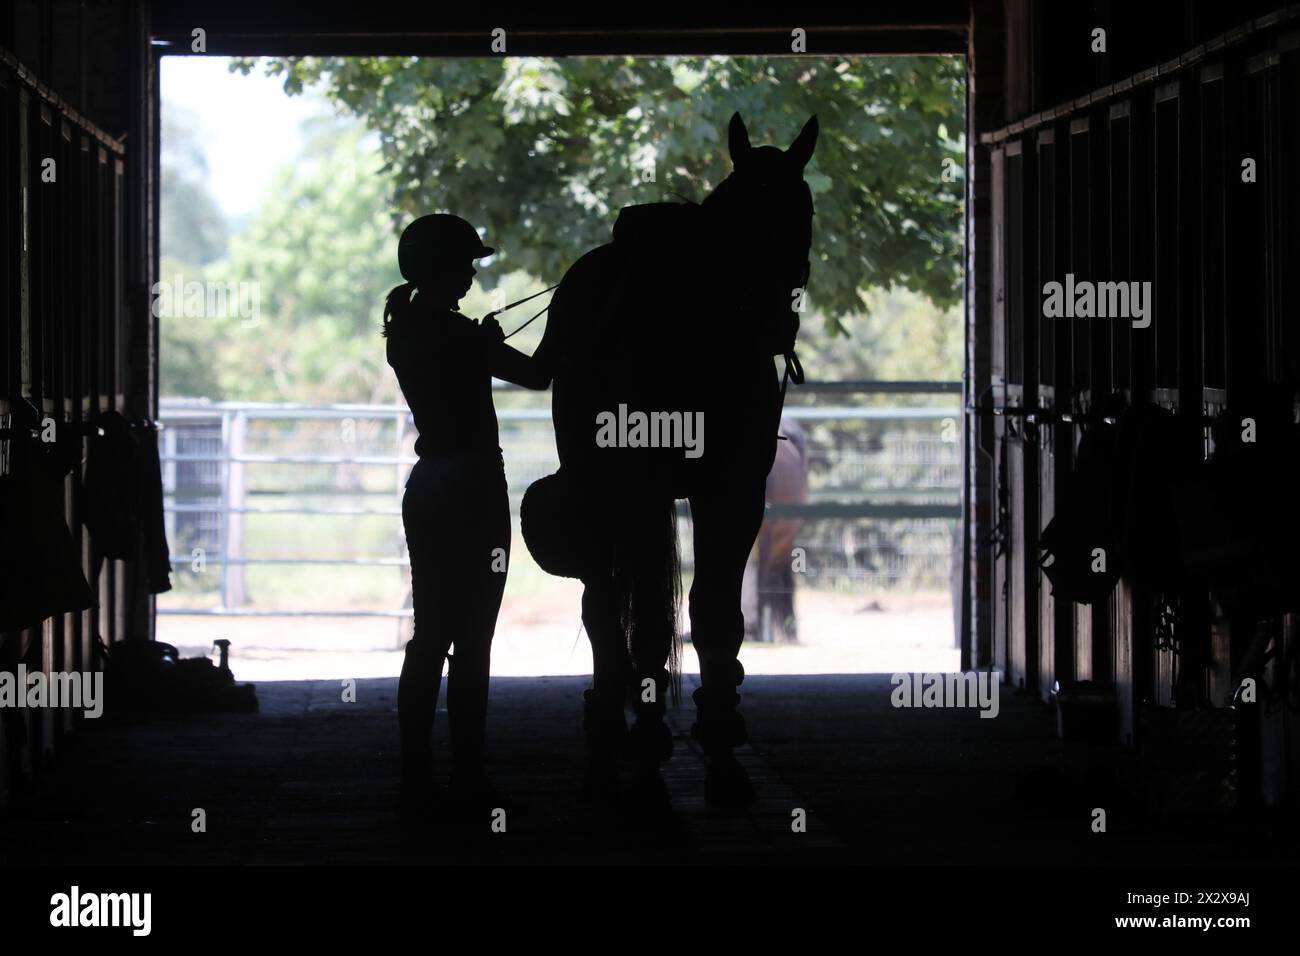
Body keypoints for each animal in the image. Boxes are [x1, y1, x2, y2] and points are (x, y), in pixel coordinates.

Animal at [517, 113, 811, 806]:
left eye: (805, 210)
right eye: (740, 215)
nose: (774, 322)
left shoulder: (734, 493)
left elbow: (716, 614)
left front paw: (724, 748)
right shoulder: (643, 490)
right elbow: (650, 615)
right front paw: (650, 748)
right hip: (600, 495)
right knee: (602, 604)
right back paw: (609, 722)